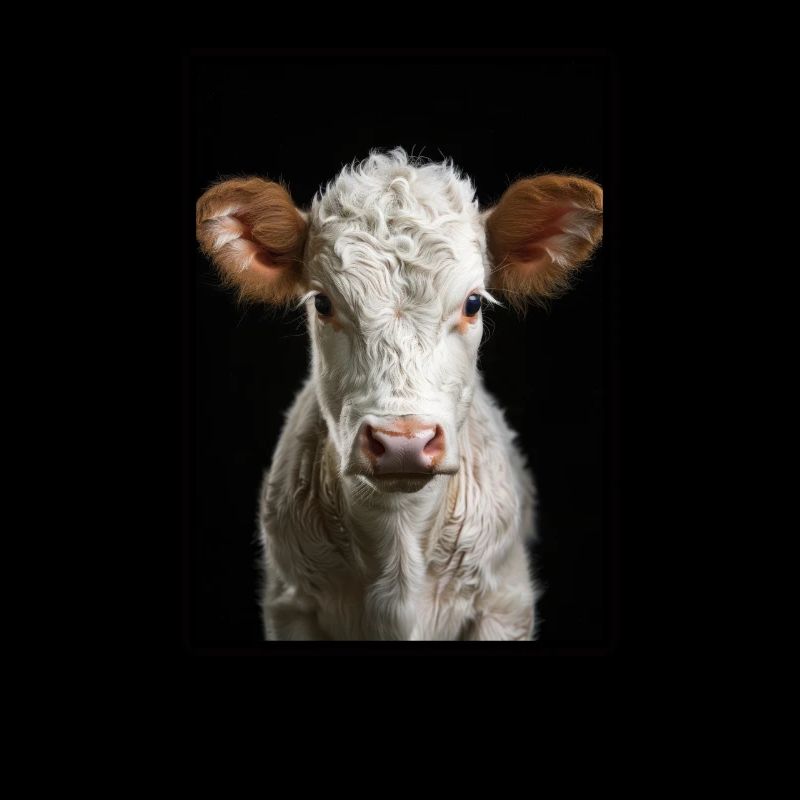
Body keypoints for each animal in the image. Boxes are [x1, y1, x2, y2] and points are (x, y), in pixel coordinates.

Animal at [196, 148, 602, 640]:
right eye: (323, 303)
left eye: (473, 302)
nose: (403, 442)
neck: (398, 535)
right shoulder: (289, 605)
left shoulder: (506, 604)